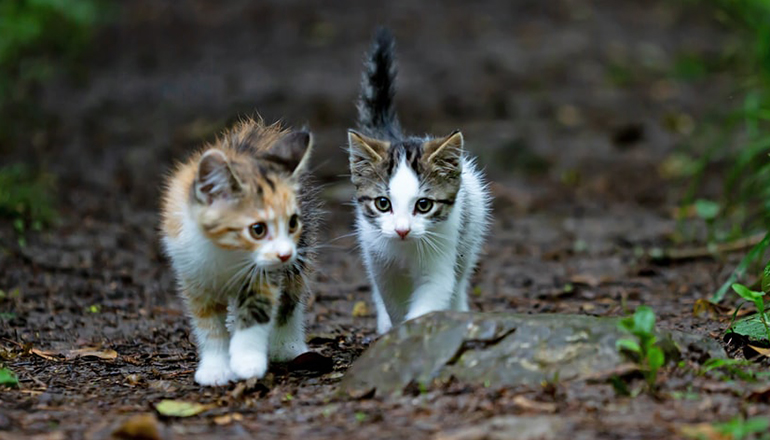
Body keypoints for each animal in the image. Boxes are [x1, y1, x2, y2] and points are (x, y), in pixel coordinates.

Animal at [159, 118, 318, 384]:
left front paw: (247, 361)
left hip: (301, 251)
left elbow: (258, 310)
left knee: (291, 296)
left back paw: (288, 345)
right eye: (257, 229)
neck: (227, 252)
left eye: (292, 223)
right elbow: (208, 324)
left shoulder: (266, 274)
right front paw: (215, 368)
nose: (285, 253)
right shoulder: (192, 273)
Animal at [346, 28, 488, 334]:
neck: (405, 249)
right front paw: (396, 332)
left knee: (460, 280)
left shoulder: (443, 251)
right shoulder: (380, 262)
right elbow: (392, 301)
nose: (402, 230)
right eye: (383, 203)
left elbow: (433, 296)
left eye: (423, 205)